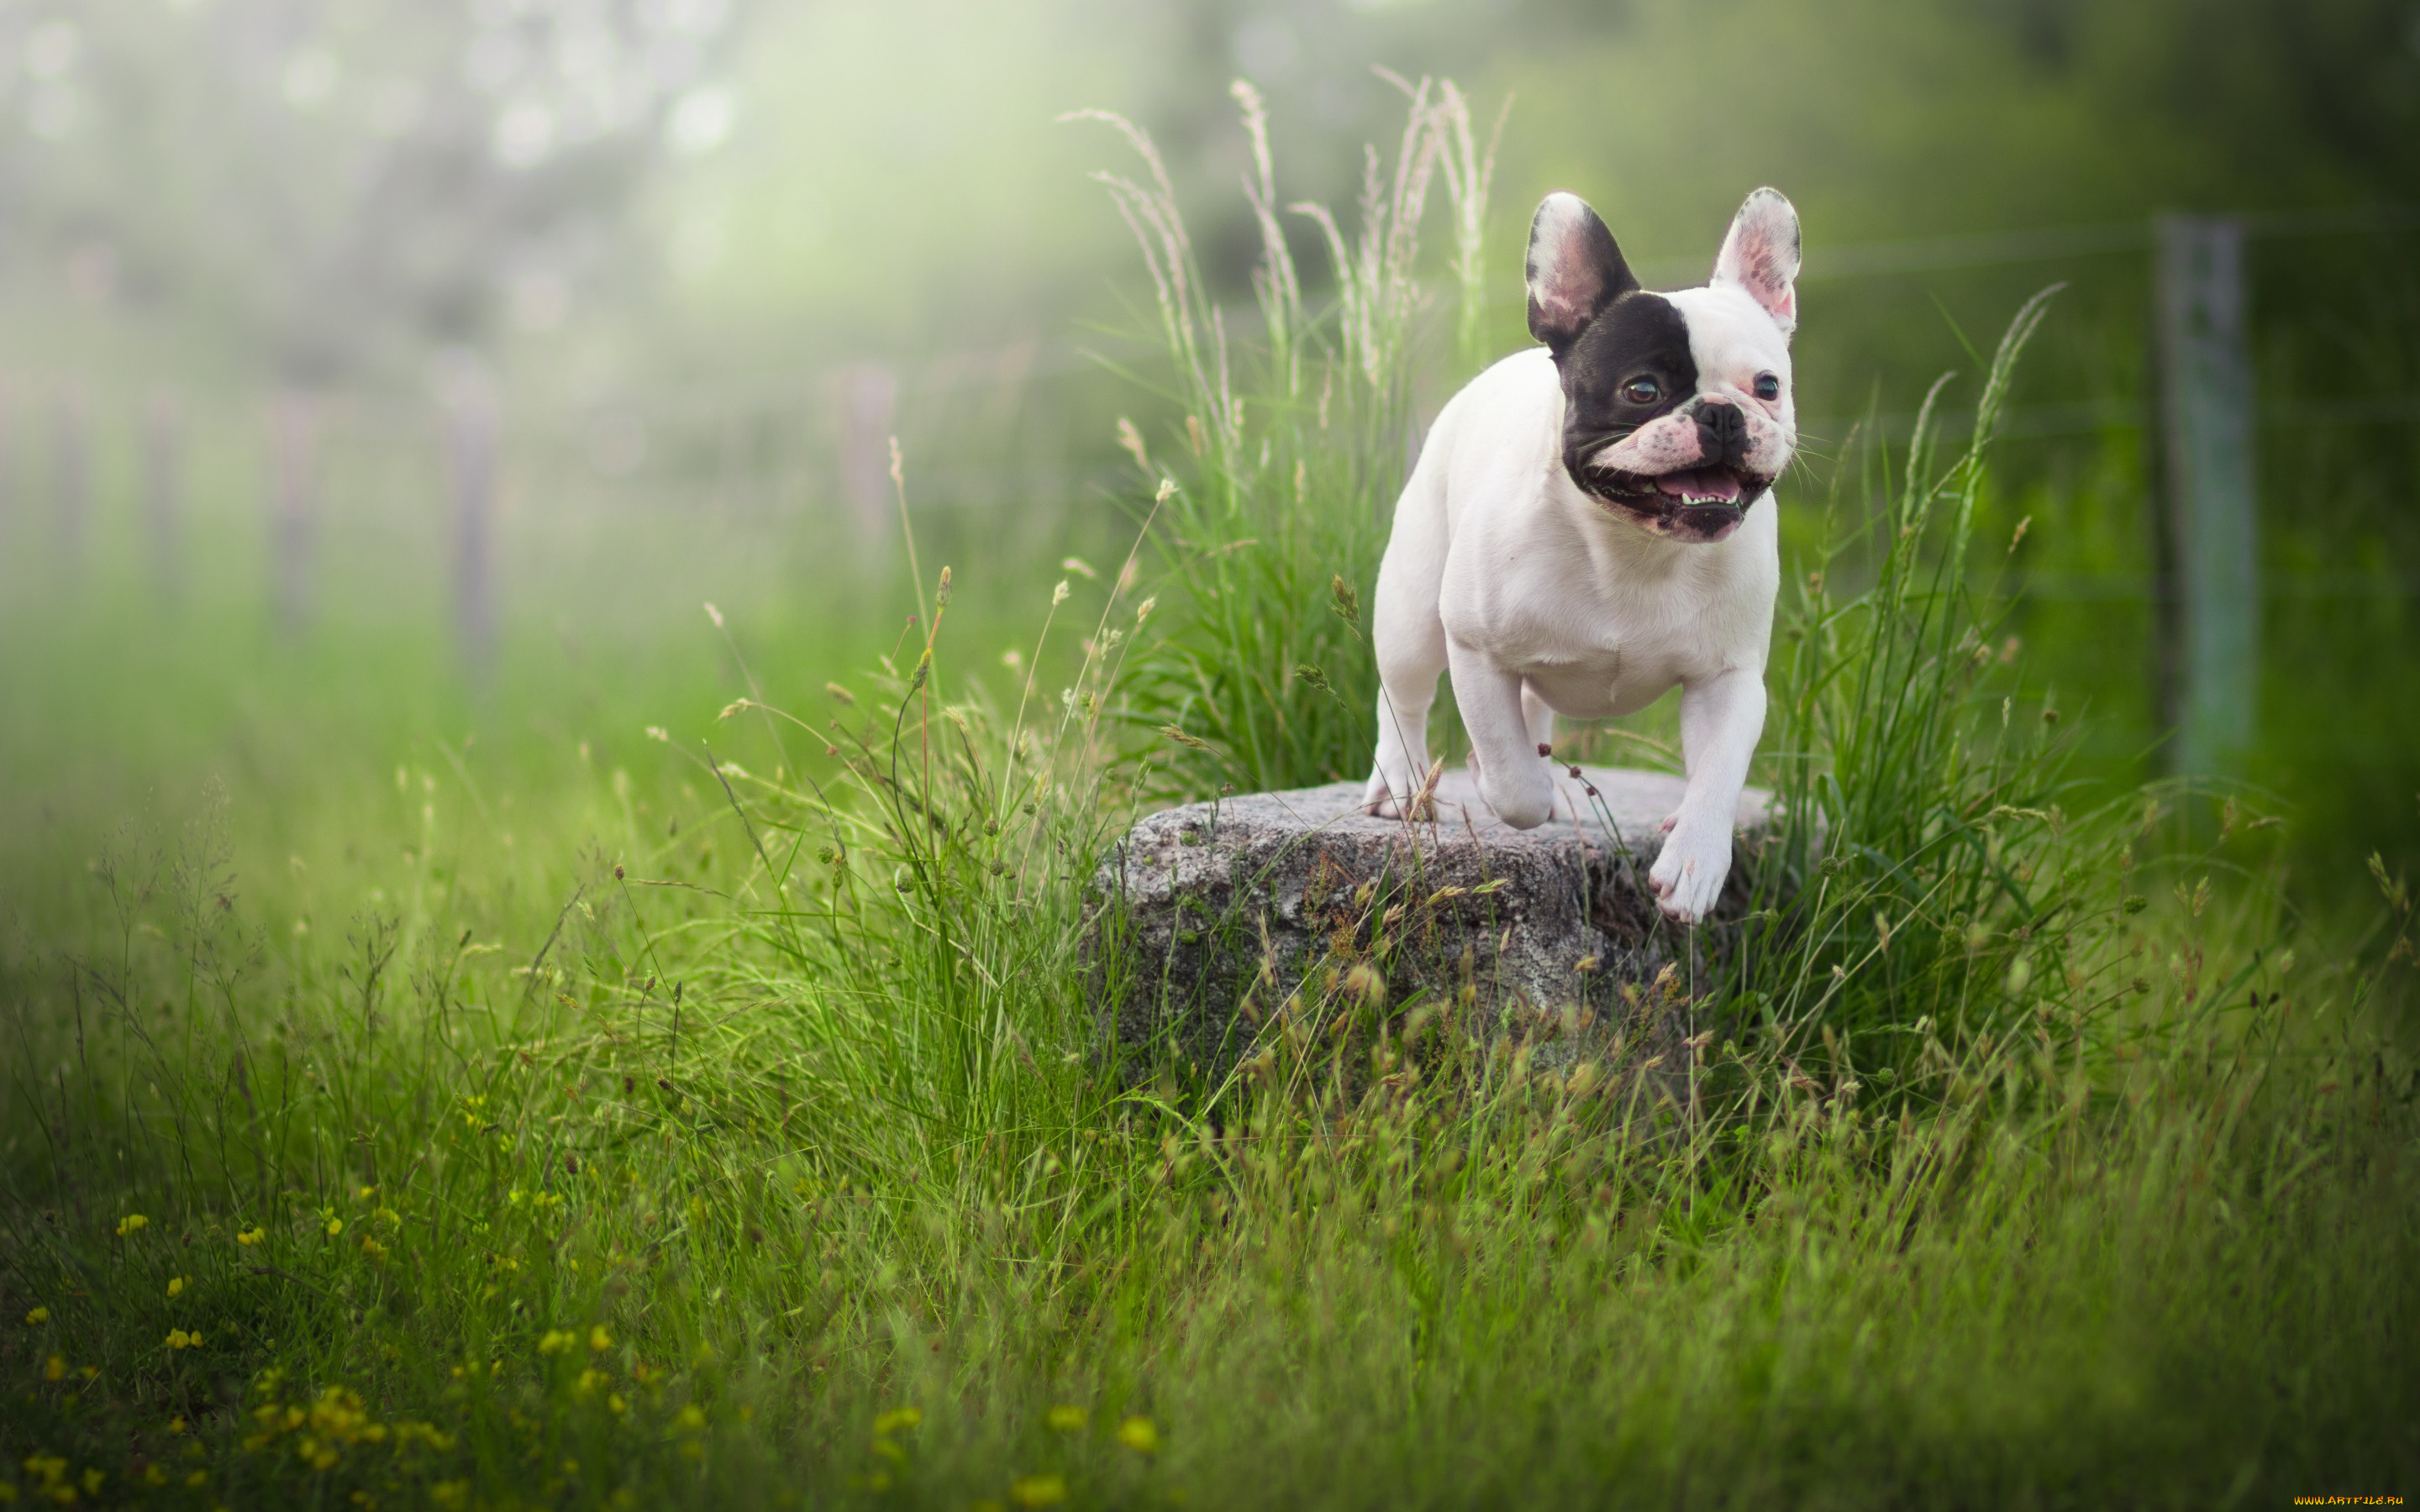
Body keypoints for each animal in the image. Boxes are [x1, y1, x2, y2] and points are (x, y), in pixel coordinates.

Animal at [1365, 186, 1800, 919]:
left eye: (1767, 386)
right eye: (1643, 390)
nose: (1720, 413)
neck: (1635, 546)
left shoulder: (1729, 678)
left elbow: (1718, 773)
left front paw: (1694, 858)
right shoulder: (1477, 651)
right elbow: (1512, 780)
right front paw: (1507, 788)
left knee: (1528, 708)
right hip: (1413, 614)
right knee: (1404, 700)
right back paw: (1399, 785)